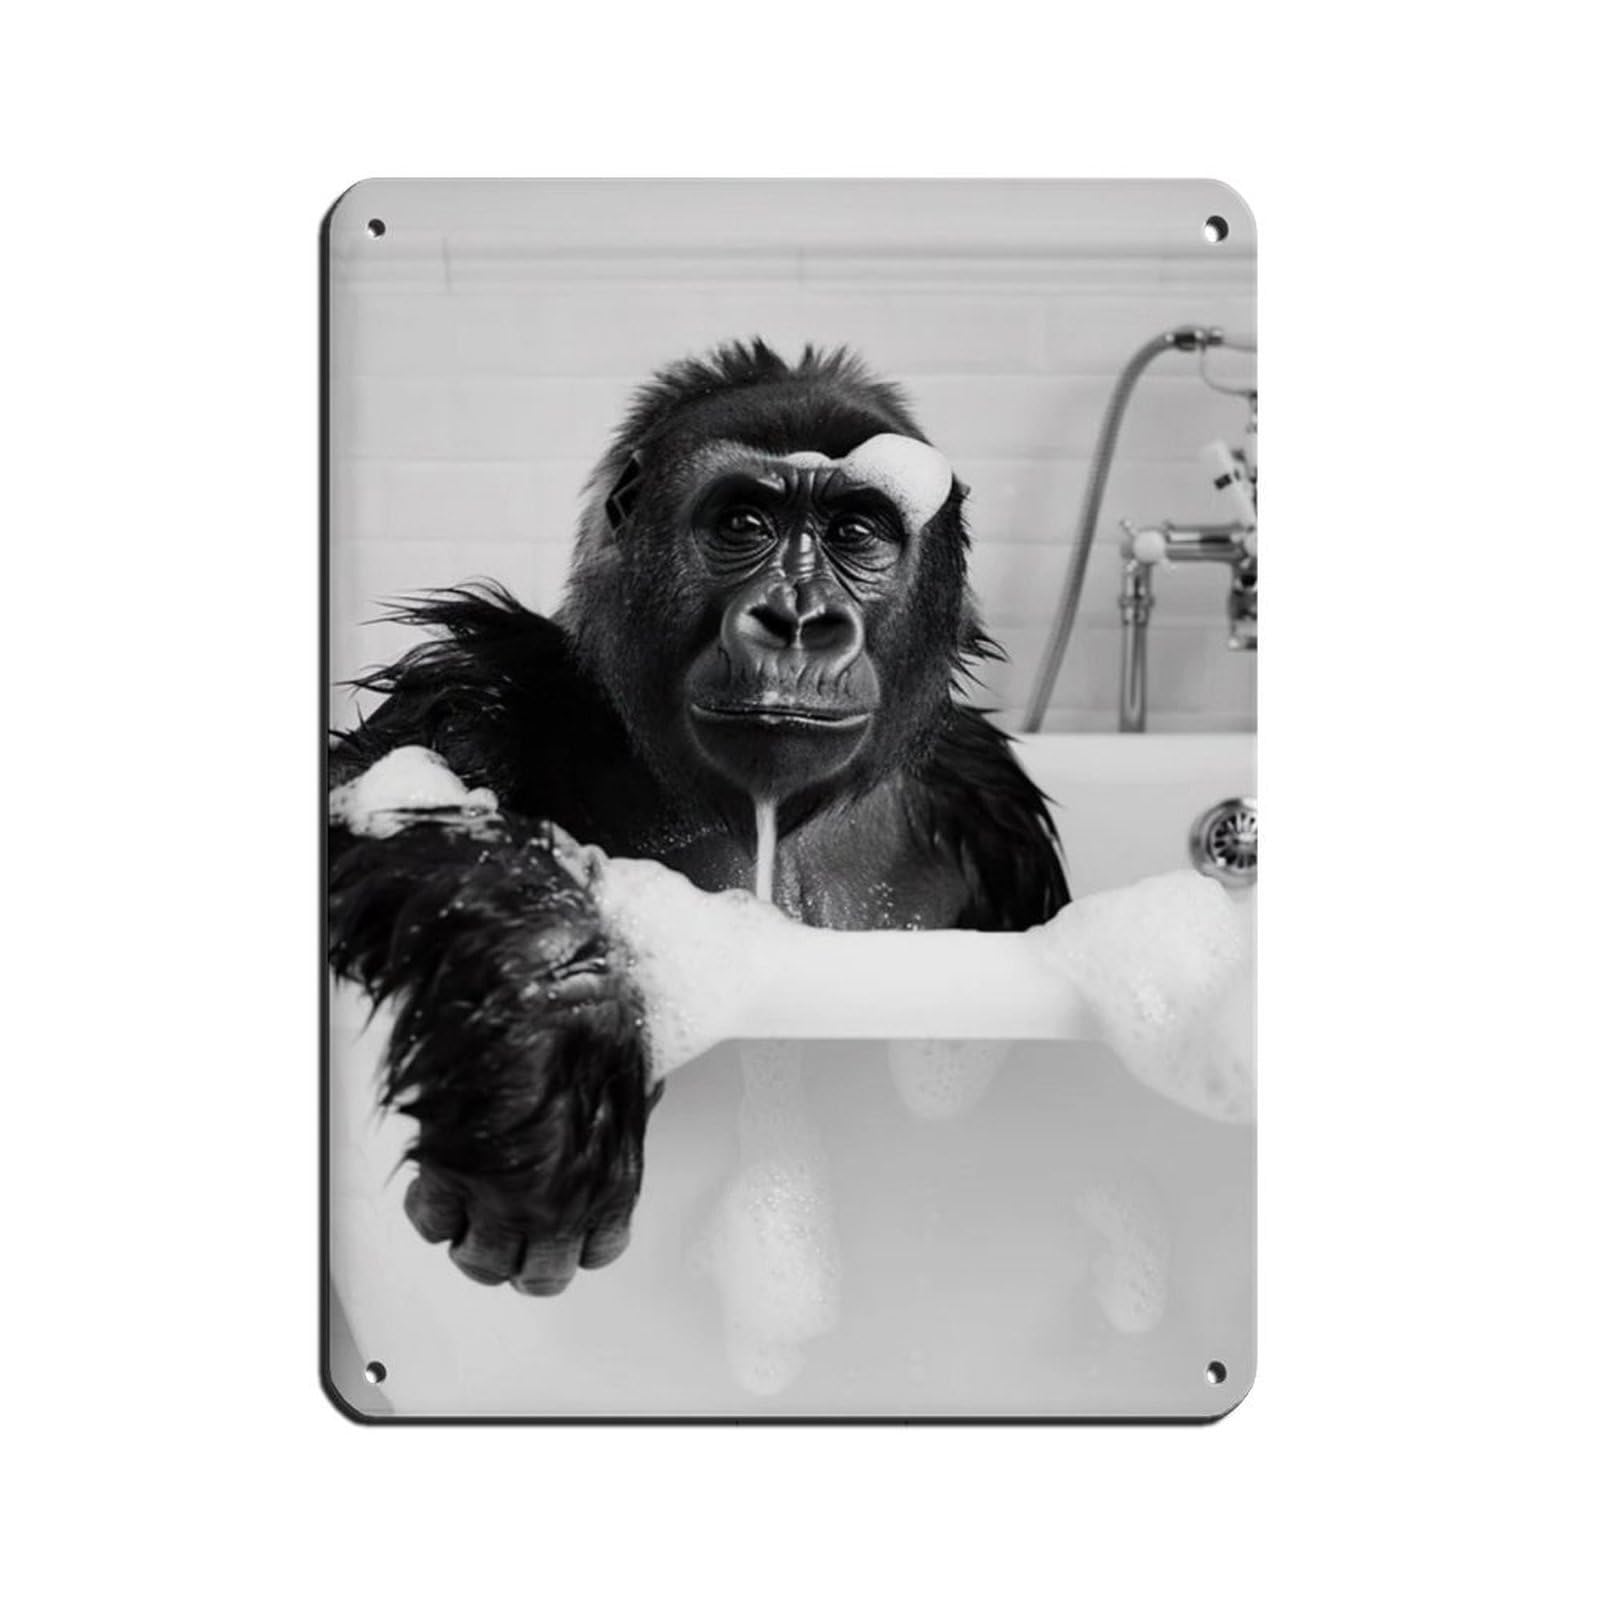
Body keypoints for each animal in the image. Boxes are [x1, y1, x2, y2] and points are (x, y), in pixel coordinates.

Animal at [328, 340, 1068, 1297]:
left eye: (856, 533)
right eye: (745, 522)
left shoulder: (994, 809)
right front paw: (552, 1035)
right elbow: (379, 803)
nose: (798, 620)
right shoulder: (480, 684)